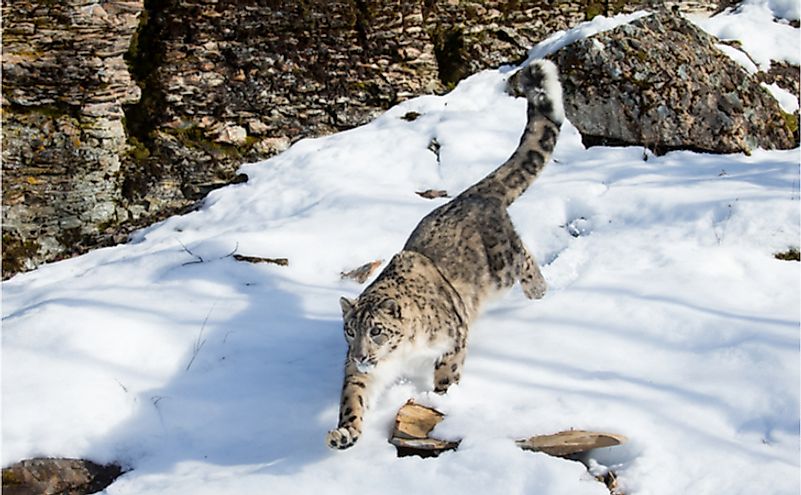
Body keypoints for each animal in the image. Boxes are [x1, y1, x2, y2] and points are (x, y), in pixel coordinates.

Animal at [324, 60, 564, 452]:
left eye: (376, 330)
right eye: (349, 330)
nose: (360, 355)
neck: (402, 354)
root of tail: (472, 193)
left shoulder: (454, 337)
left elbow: (447, 373)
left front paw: (441, 401)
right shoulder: (363, 373)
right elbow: (354, 398)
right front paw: (345, 433)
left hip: (502, 266)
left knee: (525, 256)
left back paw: (538, 292)